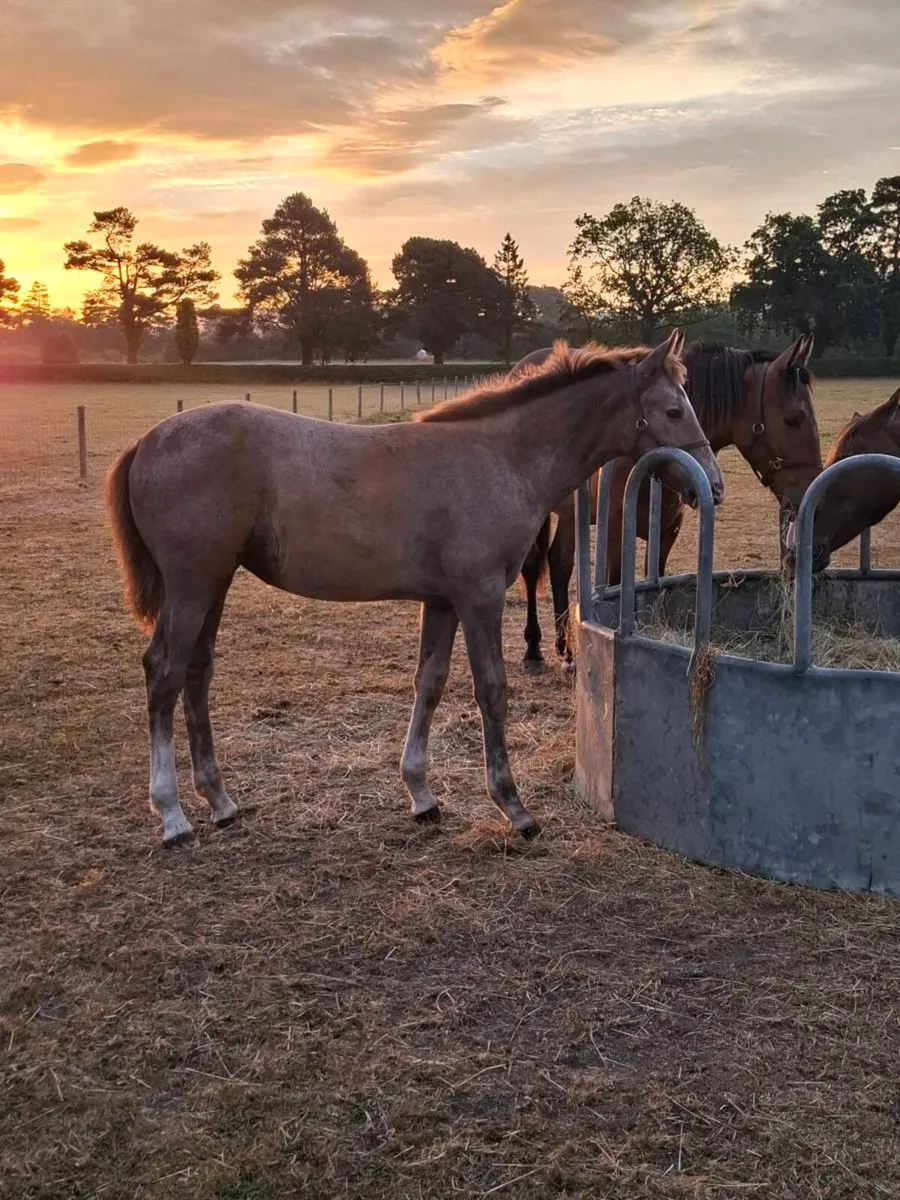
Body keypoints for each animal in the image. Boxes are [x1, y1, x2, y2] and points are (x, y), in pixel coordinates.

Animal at [105, 333, 724, 846]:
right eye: (673, 410)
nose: (712, 487)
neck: (501, 458)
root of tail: (146, 442)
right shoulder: (478, 596)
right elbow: (491, 690)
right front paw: (514, 807)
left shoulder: (443, 601)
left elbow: (429, 683)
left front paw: (421, 795)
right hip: (192, 584)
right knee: (164, 672)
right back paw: (172, 815)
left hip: (215, 582)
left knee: (196, 671)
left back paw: (220, 801)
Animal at [517, 335, 821, 669]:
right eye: (794, 419)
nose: (810, 489)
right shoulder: (615, 531)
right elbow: (614, 584)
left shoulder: (666, 532)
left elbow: (656, 584)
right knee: (537, 566)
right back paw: (536, 647)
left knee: (559, 563)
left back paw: (566, 650)